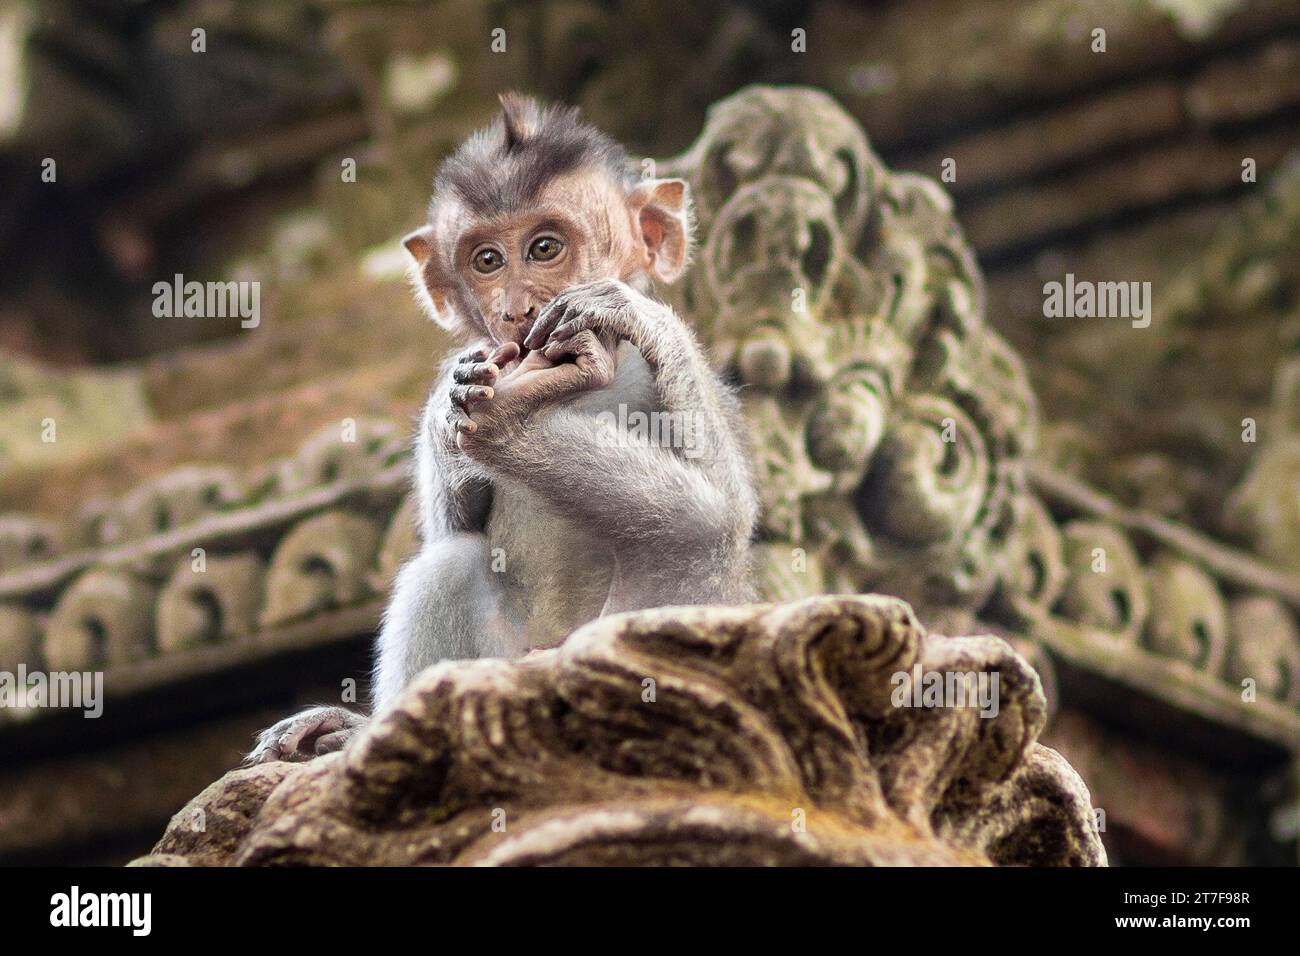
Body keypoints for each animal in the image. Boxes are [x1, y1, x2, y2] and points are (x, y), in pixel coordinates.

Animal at [246, 94, 757, 764]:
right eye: (487, 261)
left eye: (544, 249)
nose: (516, 309)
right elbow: (453, 519)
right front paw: (474, 414)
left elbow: (731, 509)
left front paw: (627, 317)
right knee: (453, 559)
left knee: (705, 528)